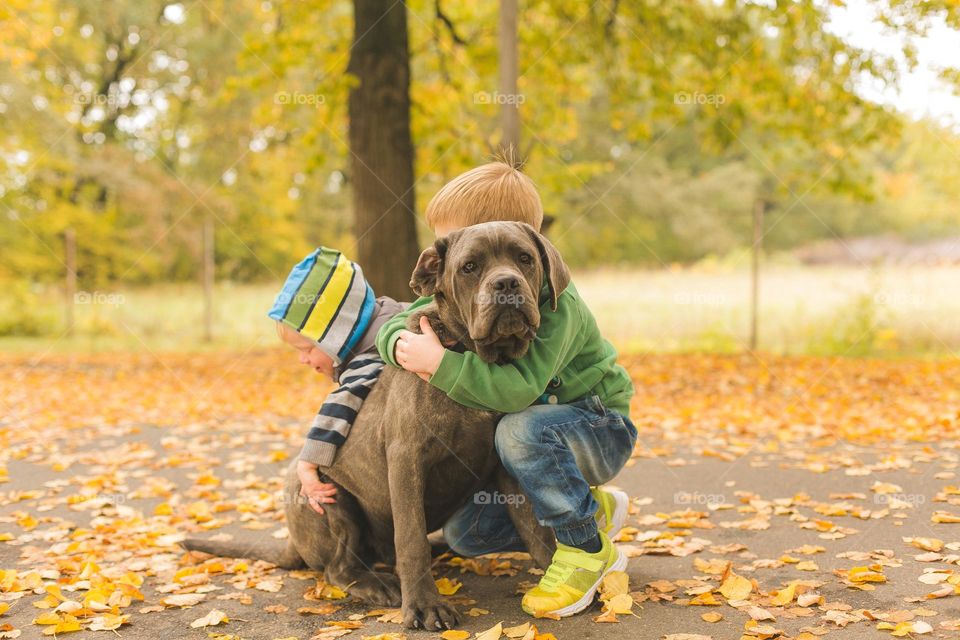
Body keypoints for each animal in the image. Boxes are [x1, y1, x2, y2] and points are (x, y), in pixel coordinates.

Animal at [184, 220, 568, 632]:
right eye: (469, 267)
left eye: (524, 258)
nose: (506, 283)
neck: (474, 357)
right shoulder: (406, 459)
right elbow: (411, 538)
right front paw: (425, 606)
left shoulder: (506, 465)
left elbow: (536, 528)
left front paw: (557, 581)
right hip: (331, 499)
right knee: (339, 568)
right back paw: (379, 584)